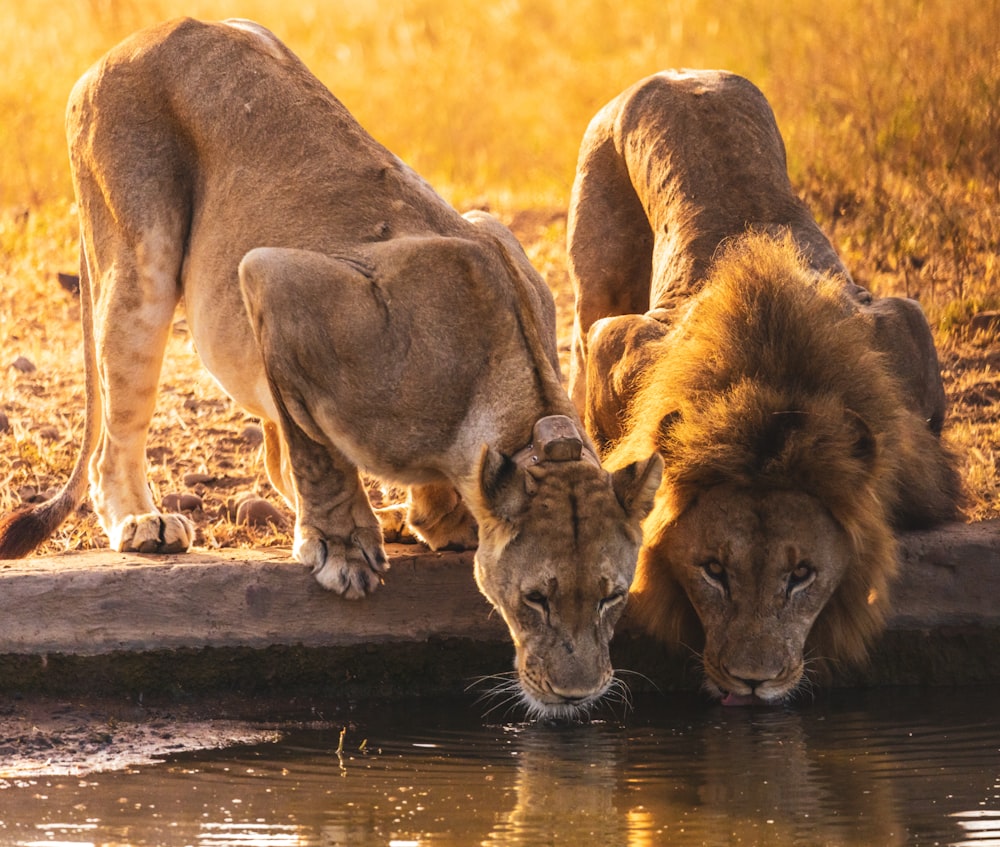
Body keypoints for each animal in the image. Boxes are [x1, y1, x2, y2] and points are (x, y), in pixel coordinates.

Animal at [0, 19, 664, 720]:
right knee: (121, 438)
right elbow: (317, 452)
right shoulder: (275, 278)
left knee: (269, 447)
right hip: (141, 258)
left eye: (612, 595)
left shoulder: (495, 236)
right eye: (537, 598)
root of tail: (138, 37)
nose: (579, 693)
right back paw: (143, 522)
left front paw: (438, 518)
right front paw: (343, 548)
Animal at [564, 69, 960, 704]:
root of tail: (673, 72)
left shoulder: (905, 324)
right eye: (713, 570)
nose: (753, 682)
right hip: (595, 281)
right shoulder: (614, 342)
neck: (770, 387)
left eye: (801, 575)